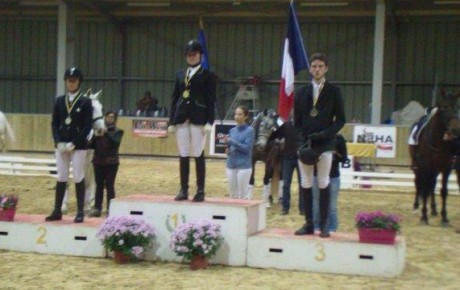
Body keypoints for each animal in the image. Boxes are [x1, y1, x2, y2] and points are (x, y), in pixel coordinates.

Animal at [412, 90, 460, 224]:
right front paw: (424, 216)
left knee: (432, 185)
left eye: (457, 108)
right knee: (418, 183)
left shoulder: (446, 168)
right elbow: (424, 188)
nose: (455, 130)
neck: (437, 141)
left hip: (436, 170)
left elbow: (443, 191)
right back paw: (416, 206)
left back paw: (433, 209)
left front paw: (444, 217)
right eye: (443, 108)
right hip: (418, 167)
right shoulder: (427, 167)